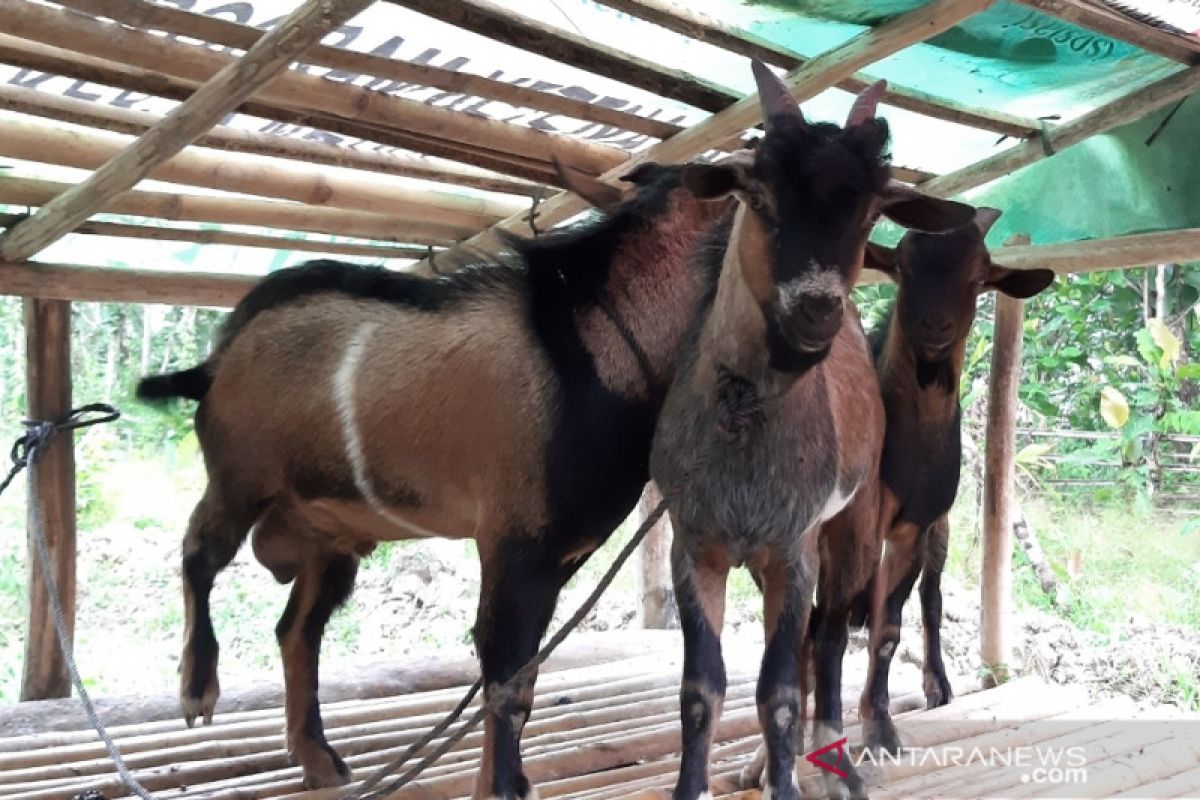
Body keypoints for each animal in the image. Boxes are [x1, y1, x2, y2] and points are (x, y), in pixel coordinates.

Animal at [136, 163, 734, 796]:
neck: (594, 351)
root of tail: (214, 363)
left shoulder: (555, 557)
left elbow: (522, 676)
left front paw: (509, 780)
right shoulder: (512, 539)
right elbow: (503, 673)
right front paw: (500, 785)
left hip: (326, 535)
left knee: (296, 630)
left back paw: (318, 757)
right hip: (238, 477)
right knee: (200, 552)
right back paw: (198, 686)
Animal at [648, 61, 974, 800]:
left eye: (872, 213)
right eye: (758, 193)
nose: (817, 310)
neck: (743, 421)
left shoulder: (793, 546)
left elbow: (778, 690)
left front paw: (793, 780)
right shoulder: (695, 543)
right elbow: (701, 690)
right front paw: (702, 784)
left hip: (850, 527)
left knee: (824, 643)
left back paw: (835, 760)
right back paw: (771, 761)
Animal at [849, 209, 1056, 753]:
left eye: (980, 276)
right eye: (902, 266)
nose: (934, 326)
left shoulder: (915, 526)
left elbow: (889, 628)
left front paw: (879, 725)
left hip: (939, 528)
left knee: (931, 598)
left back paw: (937, 684)